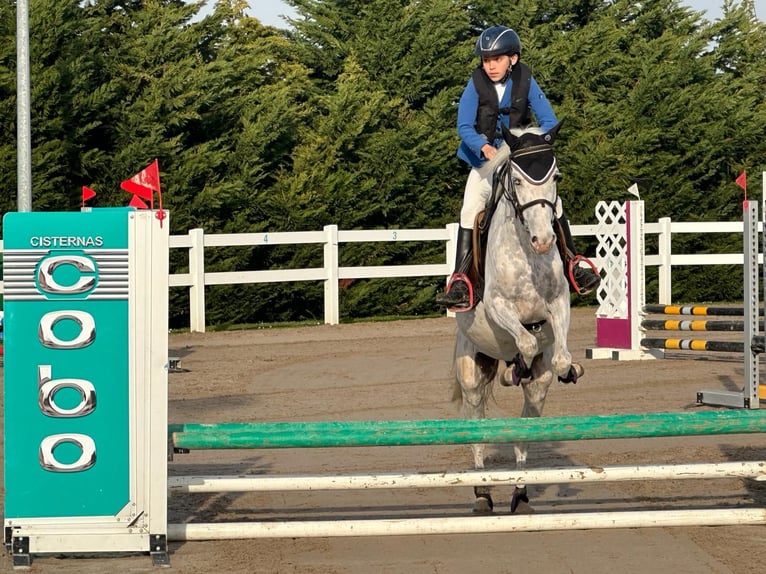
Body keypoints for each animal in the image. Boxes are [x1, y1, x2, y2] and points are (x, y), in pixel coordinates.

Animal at [450, 122, 584, 516]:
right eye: (518, 182)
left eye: (555, 177)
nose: (543, 241)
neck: (526, 252)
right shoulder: (498, 306)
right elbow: (523, 339)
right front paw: (515, 369)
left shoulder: (558, 305)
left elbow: (559, 357)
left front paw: (564, 368)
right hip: (471, 374)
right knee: (476, 429)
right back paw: (482, 495)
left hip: (537, 389)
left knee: (527, 427)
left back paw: (521, 495)